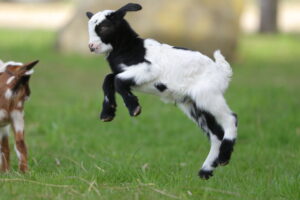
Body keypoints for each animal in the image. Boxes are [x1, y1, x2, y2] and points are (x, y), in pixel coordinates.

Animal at [85, 3, 238, 180]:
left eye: (104, 27)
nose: (91, 47)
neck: (129, 48)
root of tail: (221, 71)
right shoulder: (129, 75)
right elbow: (109, 79)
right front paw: (107, 113)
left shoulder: (148, 70)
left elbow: (117, 81)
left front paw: (134, 108)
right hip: (195, 106)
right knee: (216, 135)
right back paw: (206, 171)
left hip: (208, 97)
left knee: (231, 119)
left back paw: (224, 157)